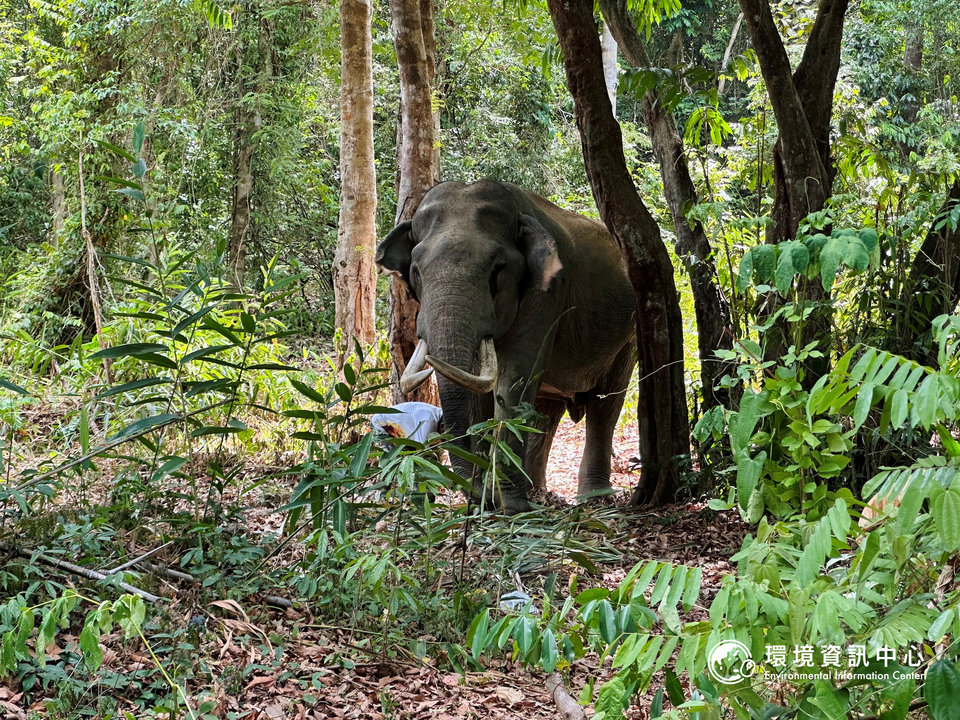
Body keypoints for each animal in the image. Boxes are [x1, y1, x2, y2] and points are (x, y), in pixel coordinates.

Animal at [375, 180, 636, 514]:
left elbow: (514, 380)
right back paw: (538, 494)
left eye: (497, 269)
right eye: (416, 271)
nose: (477, 497)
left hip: (628, 337)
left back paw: (594, 499)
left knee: (605, 404)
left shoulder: (548, 292)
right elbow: (479, 390)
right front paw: (489, 502)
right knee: (546, 410)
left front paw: (510, 506)